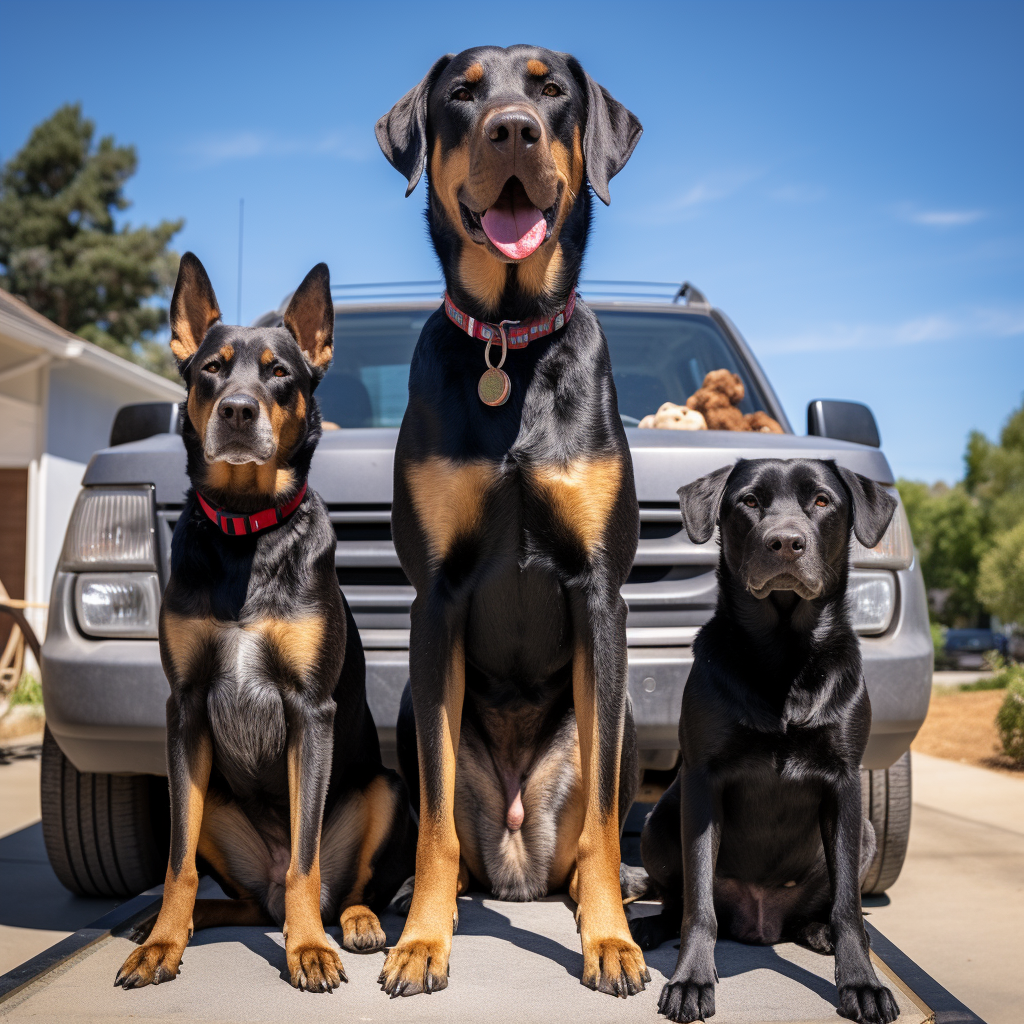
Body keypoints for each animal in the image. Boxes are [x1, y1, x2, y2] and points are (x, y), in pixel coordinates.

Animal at [114, 253, 413, 991]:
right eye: (211, 369)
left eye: (279, 372)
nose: (238, 411)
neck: (247, 532)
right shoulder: (186, 708)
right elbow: (177, 862)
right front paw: (162, 944)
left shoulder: (310, 710)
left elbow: (307, 857)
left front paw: (307, 950)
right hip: (215, 799)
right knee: (243, 901)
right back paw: (175, 923)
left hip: (388, 789)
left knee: (337, 885)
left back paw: (353, 924)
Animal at [374, 44, 647, 995]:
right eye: (463, 93)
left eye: (550, 89)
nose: (514, 130)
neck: (511, 339)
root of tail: (521, 857)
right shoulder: (436, 599)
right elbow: (433, 822)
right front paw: (423, 939)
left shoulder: (600, 591)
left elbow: (601, 816)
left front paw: (611, 942)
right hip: (408, 708)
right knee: (452, 824)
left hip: (628, 717)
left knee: (590, 828)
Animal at [634, 460, 901, 1019]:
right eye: (750, 502)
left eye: (822, 501)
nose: (785, 542)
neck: (783, 657)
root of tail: (761, 923)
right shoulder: (703, 782)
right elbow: (699, 903)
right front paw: (692, 979)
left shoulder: (845, 783)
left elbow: (850, 907)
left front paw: (861, 983)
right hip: (661, 819)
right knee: (678, 900)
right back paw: (650, 926)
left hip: (864, 833)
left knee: (824, 908)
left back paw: (818, 932)